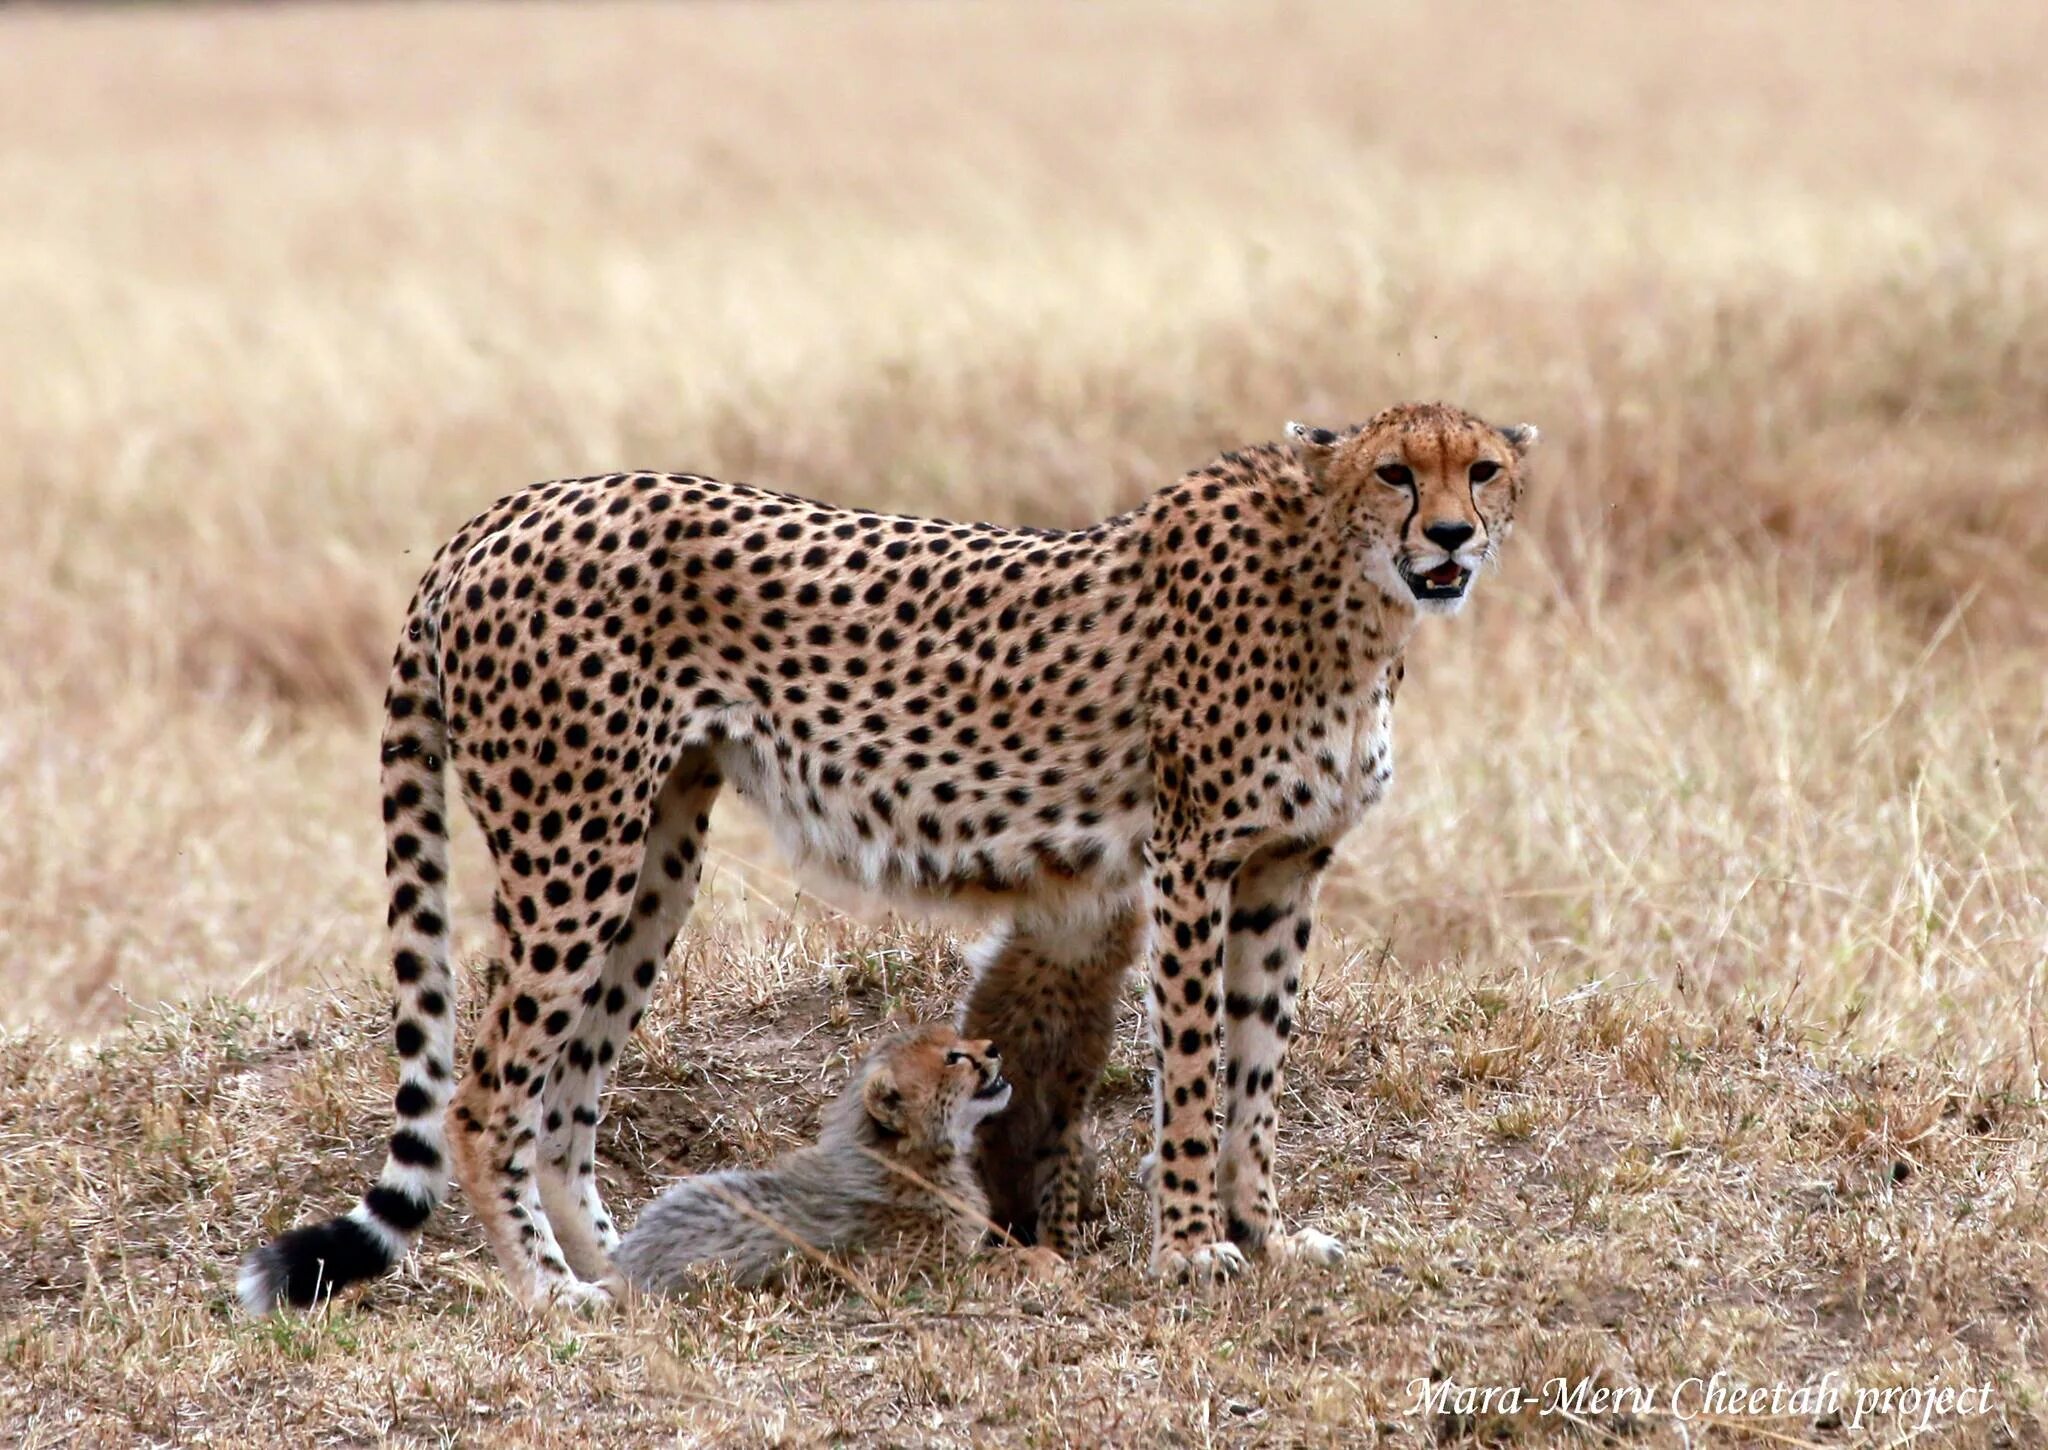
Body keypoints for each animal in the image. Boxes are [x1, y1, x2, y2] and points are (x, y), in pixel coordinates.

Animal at [239, 401, 1540, 1310]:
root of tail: (506, 511)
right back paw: (548, 1290)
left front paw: (1264, 1234)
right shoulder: (1191, 862)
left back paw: (629, 1268)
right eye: (1394, 471)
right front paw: (1187, 1249)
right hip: (575, 842)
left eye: (1479, 468)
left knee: (565, 1093)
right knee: (486, 1089)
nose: (1449, 534)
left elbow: (1257, 1076)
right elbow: (1194, 1068)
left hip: (653, 852)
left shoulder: (1281, 868)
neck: (1346, 593)